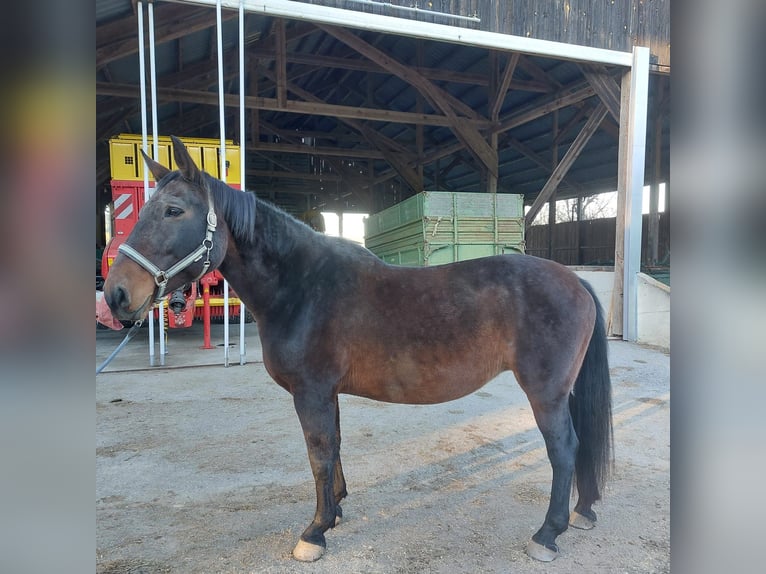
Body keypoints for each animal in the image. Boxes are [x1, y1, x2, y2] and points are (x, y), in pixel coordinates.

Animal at [105, 137, 616, 564]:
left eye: (173, 210)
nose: (116, 294)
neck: (302, 285)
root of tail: (576, 281)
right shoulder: (326, 393)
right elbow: (333, 449)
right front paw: (333, 514)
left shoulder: (310, 392)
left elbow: (318, 454)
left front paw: (313, 534)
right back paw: (585, 511)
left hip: (545, 393)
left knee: (564, 448)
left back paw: (547, 534)